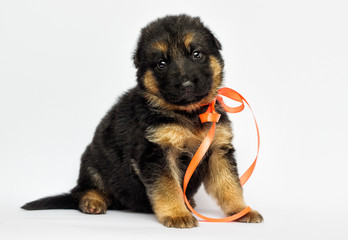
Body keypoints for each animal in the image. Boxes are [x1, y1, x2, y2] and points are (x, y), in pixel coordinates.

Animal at [22, 14, 264, 228]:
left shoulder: (217, 150)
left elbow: (229, 185)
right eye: (161, 64)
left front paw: (241, 211)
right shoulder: (157, 152)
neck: (187, 114)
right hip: (93, 162)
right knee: (83, 191)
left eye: (196, 54)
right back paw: (93, 200)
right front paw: (176, 214)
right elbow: (168, 187)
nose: (186, 84)